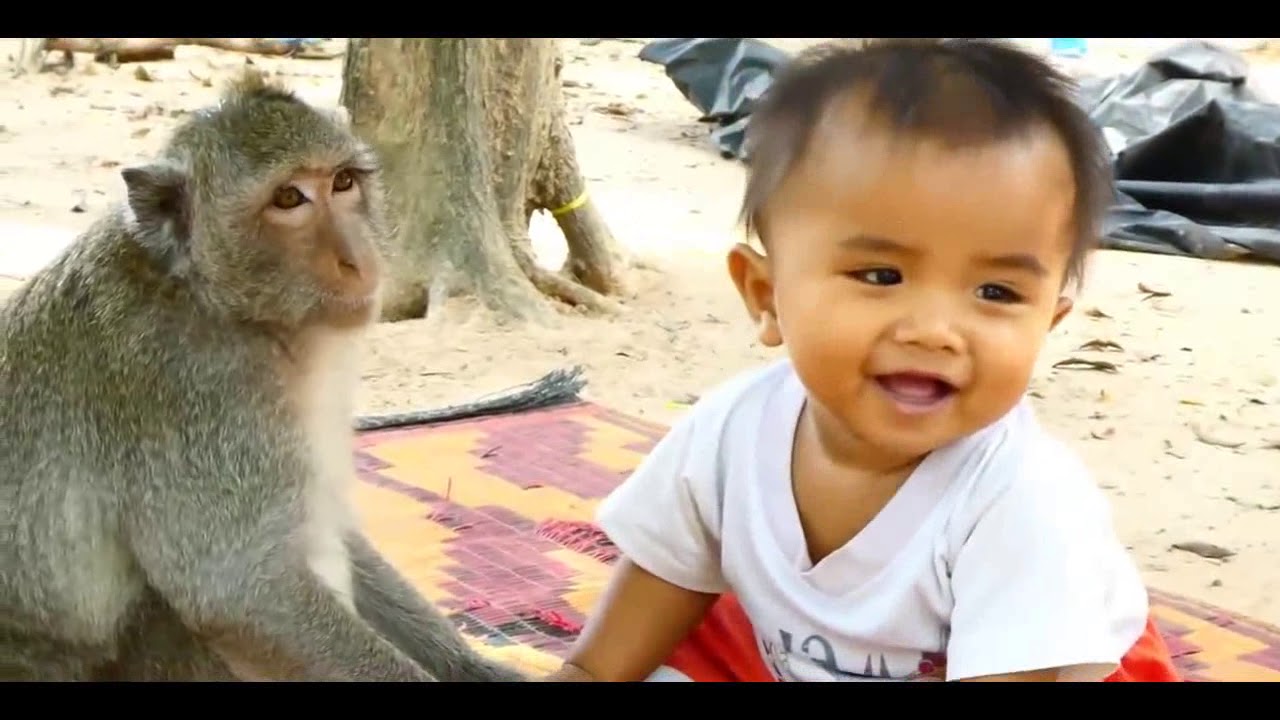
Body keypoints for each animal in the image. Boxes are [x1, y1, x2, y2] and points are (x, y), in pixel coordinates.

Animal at [0, 69, 526, 682]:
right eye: (288, 198)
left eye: (343, 181)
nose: (360, 258)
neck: (213, 297)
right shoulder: (199, 395)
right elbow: (240, 589)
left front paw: (481, 668)